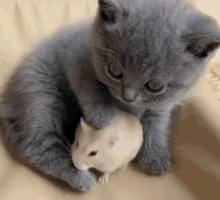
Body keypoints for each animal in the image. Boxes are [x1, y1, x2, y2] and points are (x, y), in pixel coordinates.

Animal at [0, 0, 220, 191]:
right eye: (114, 71)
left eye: (154, 86)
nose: (128, 96)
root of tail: (6, 101)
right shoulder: (76, 56)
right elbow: (89, 87)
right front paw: (104, 117)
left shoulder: (161, 103)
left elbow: (157, 123)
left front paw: (155, 155)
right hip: (40, 92)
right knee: (37, 145)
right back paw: (80, 177)